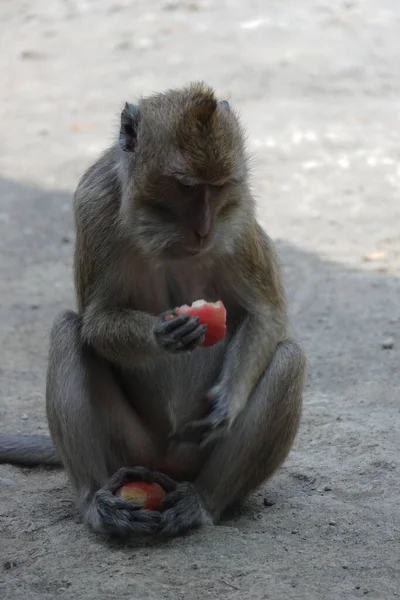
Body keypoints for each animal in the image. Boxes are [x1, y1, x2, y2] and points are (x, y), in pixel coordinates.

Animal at [0, 82, 306, 536]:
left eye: (217, 188)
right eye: (185, 186)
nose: (204, 230)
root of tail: (166, 465)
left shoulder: (239, 212)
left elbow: (265, 313)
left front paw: (227, 402)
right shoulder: (93, 204)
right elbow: (95, 320)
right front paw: (160, 333)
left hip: (193, 456)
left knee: (289, 358)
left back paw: (203, 503)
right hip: (130, 446)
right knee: (67, 331)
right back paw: (97, 502)